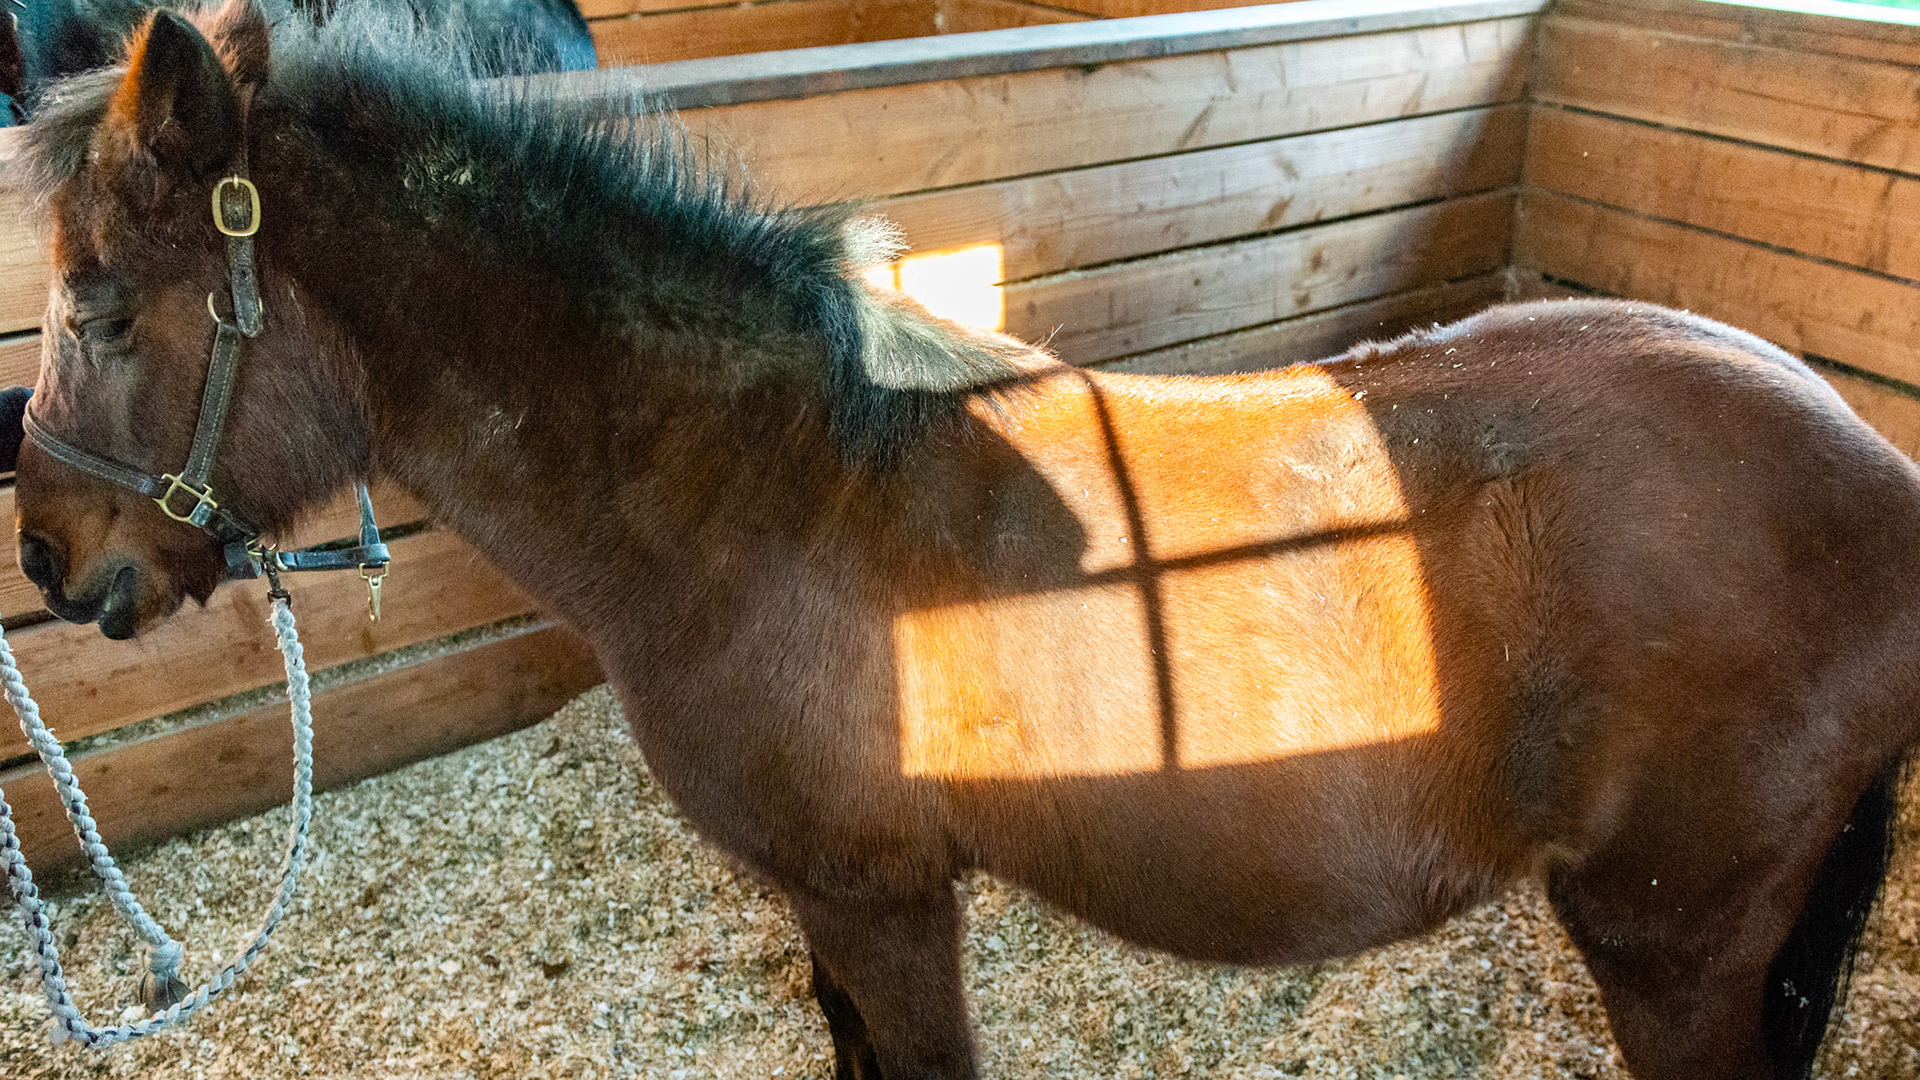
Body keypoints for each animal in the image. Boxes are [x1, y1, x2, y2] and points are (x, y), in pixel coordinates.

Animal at [7, 2, 1918, 1076]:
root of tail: (1876, 481)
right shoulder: (830, 903)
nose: (50, 564)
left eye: (96, 310)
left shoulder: (884, 896)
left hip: (1673, 943)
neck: (757, 488)